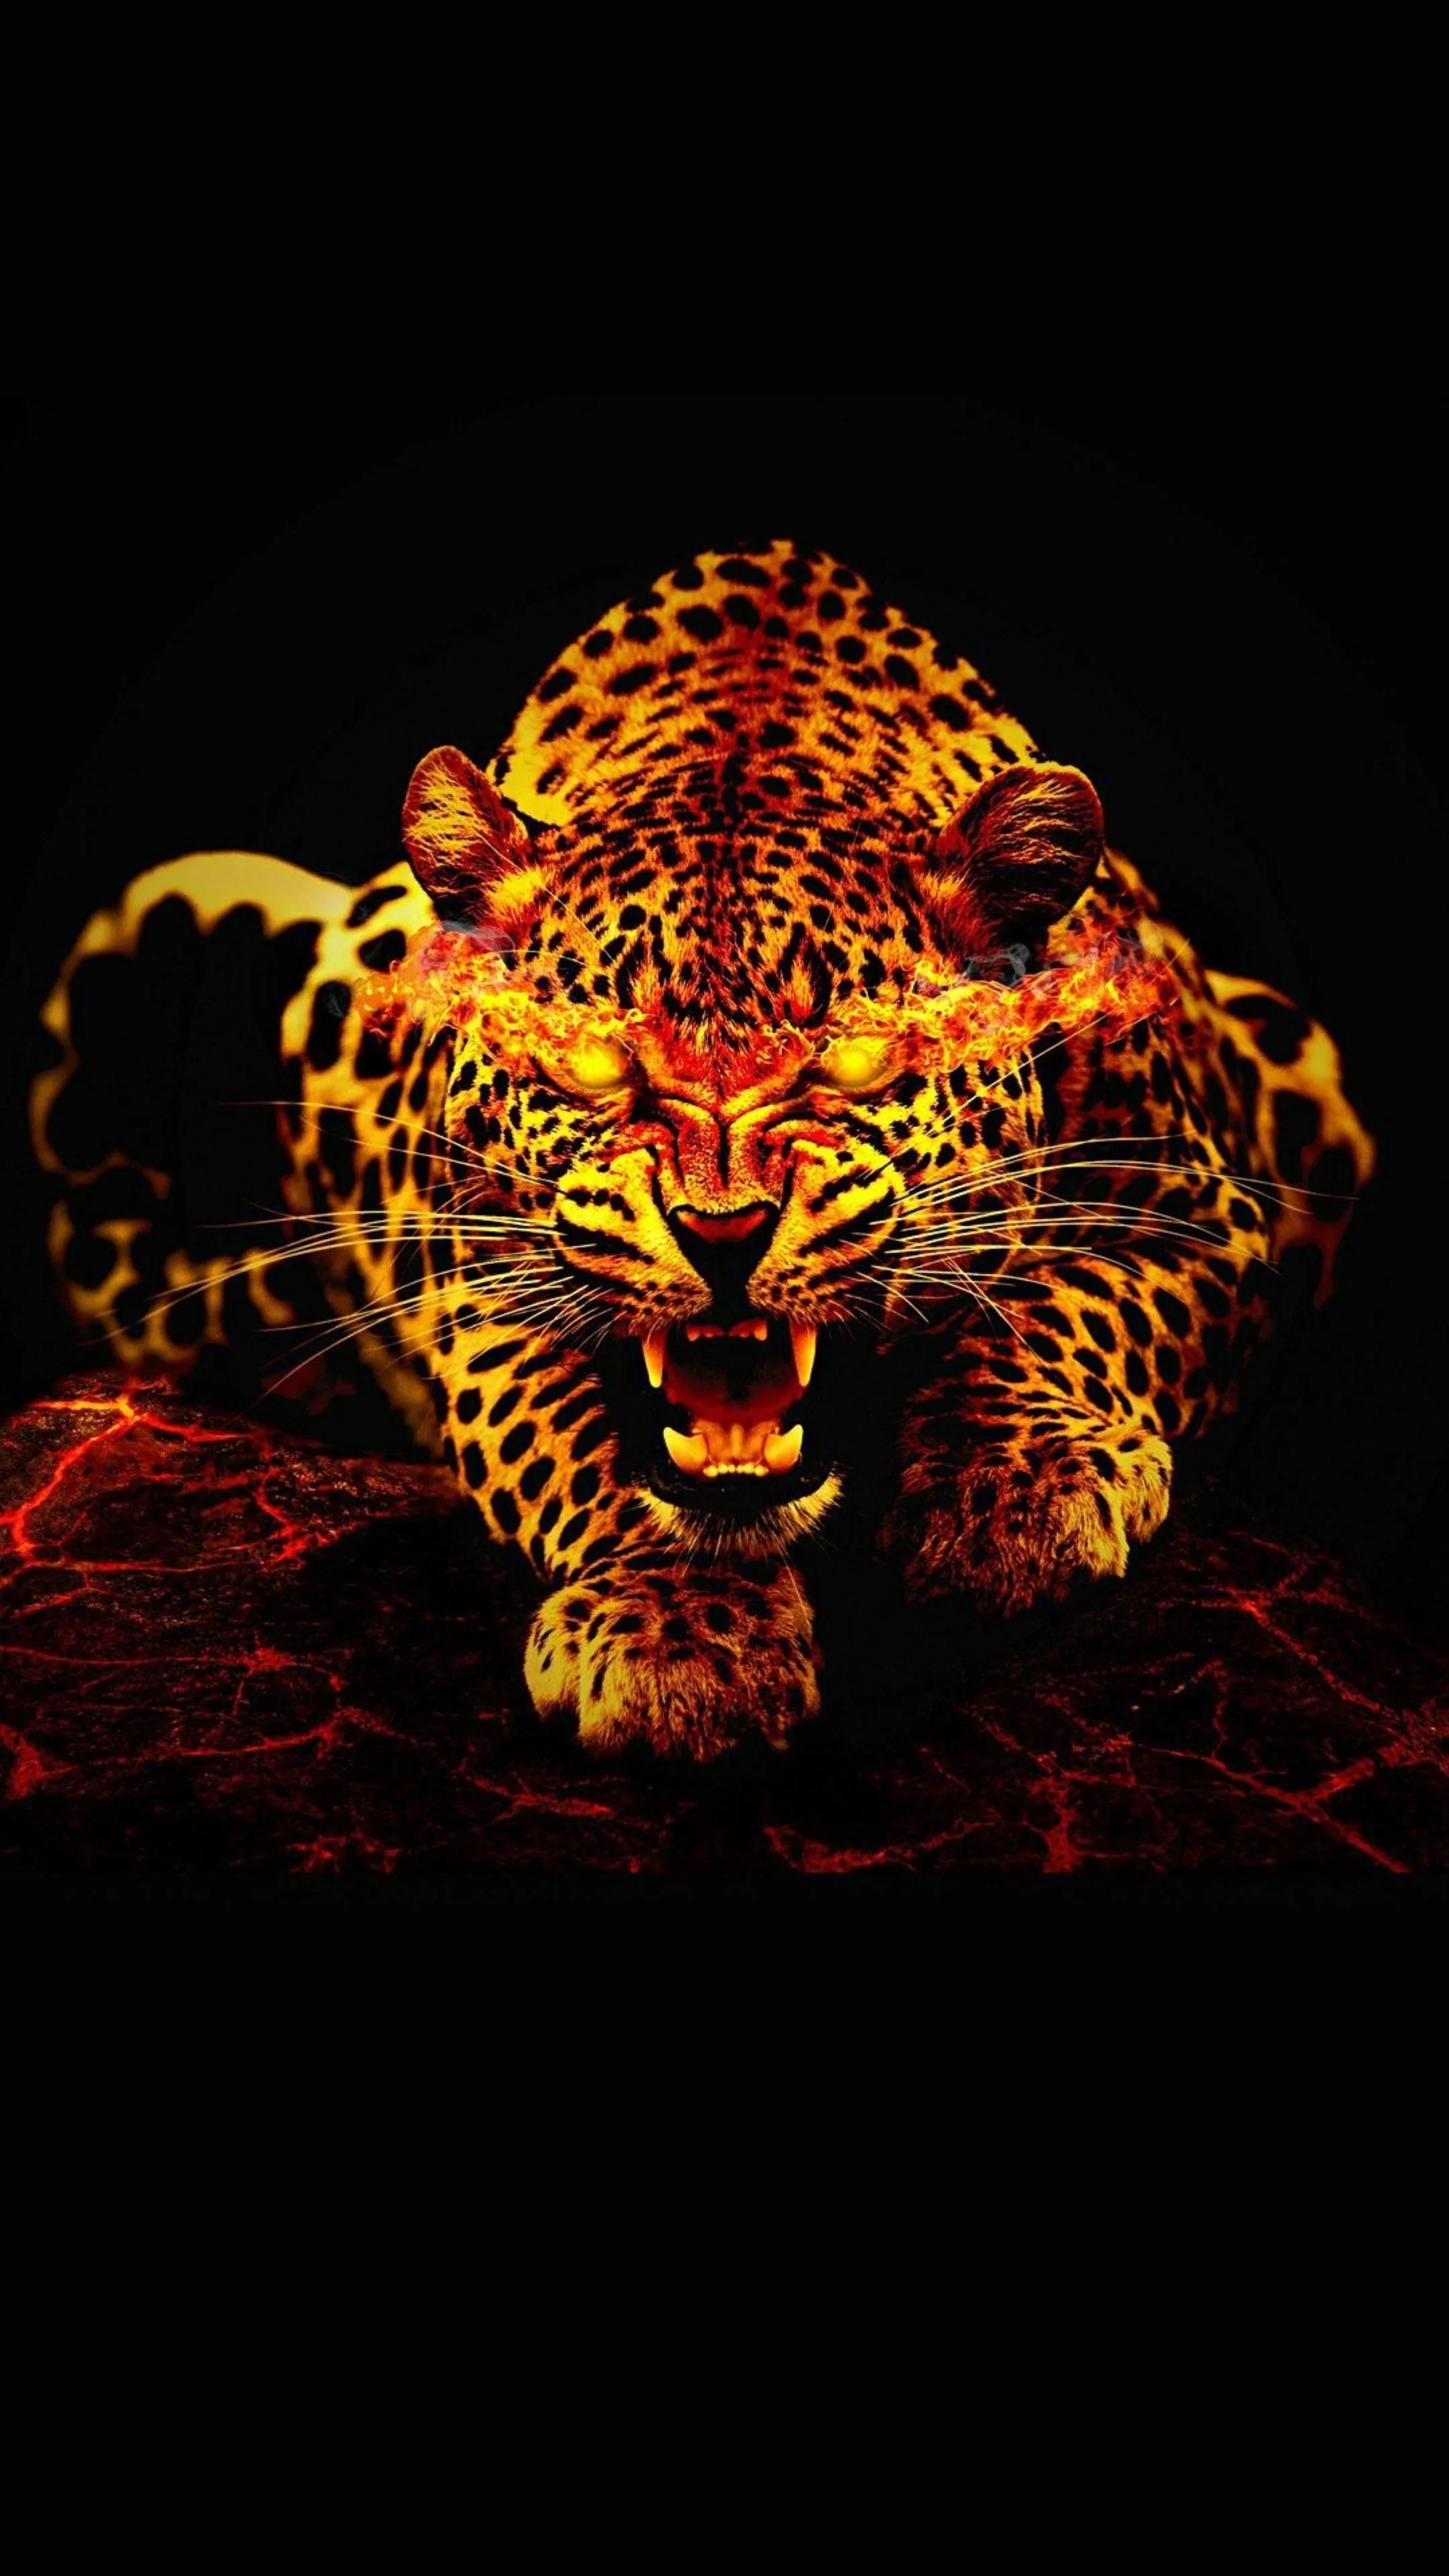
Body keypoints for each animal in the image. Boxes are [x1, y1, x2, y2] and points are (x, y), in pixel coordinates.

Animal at [31, 540, 1375, 1759]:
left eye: (858, 1058)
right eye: (587, 1060)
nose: (723, 1235)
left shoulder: (1196, 1200)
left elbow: (1067, 1306)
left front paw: (1016, 1489)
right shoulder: (480, 1283)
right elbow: (577, 1443)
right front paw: (677, 1634)